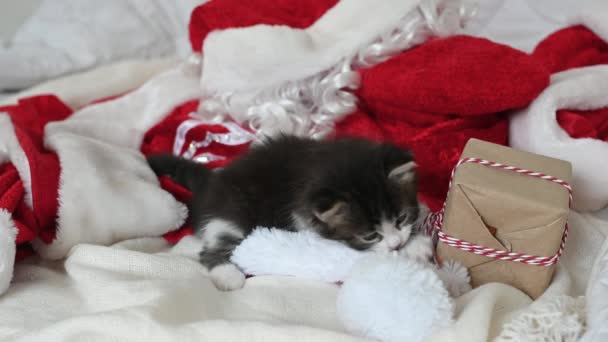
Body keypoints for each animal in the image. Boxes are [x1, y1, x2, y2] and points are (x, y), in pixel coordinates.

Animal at [147, 135, 432, 290]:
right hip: (232, 216)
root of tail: (212, 182)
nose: (396, 242)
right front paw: (412, 248)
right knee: (214, 248)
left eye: (401, 218)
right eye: (370, 236)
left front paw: (414, 239)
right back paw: (228, 276)